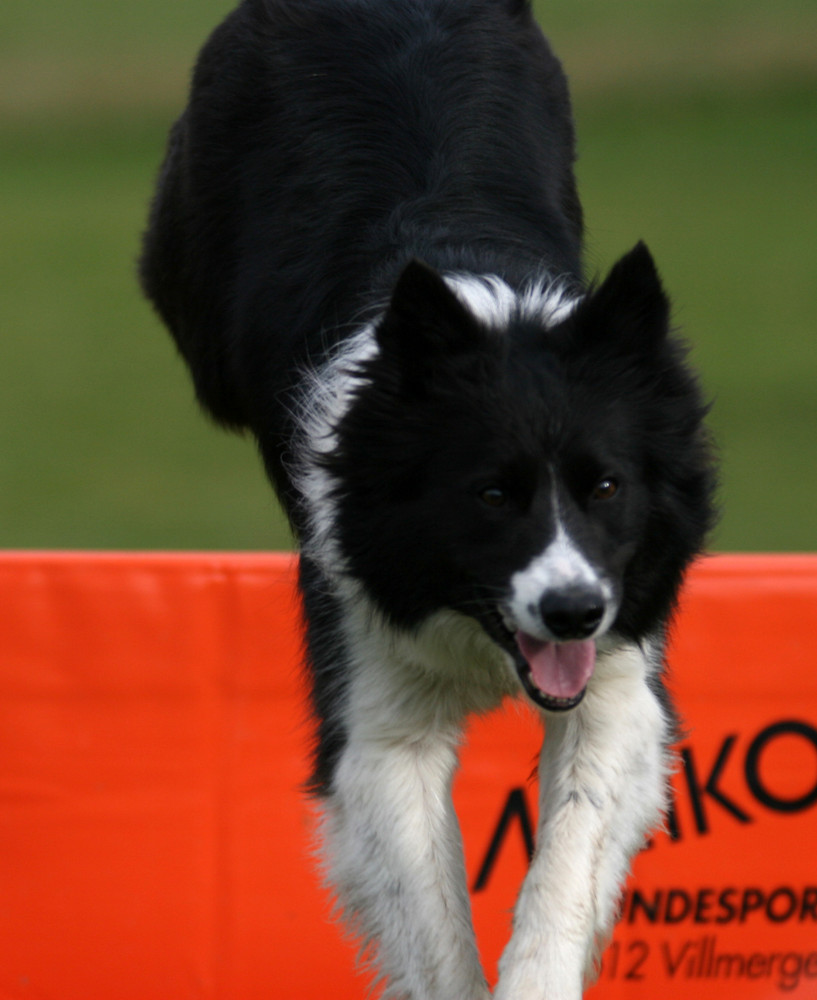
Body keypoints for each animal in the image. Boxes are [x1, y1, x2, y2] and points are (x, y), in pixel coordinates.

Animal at [140, 3, 712, 996]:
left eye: (605, 486)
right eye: (489, 494)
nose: (571, 612)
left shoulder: (616, 677)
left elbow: (565, 858)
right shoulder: (374, 716)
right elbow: (431, 920)